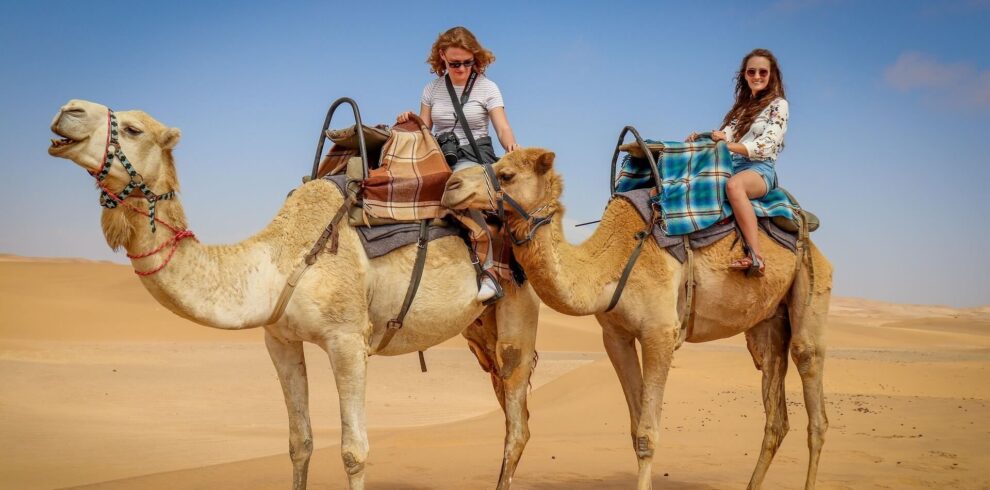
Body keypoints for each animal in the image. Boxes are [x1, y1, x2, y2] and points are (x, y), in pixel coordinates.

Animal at [46, 99, 541, 490]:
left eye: (133, 129)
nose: (67, 110)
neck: (277, 260)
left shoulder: (348, 340)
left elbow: (353, 451)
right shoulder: (279, 340)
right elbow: (299, 442)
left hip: (518, 310)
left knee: (516, 424)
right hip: (478, 328)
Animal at [442, 148, 833, 489]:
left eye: (506, 174)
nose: (450, 185)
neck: (609, 263)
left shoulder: (660, 332)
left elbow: (648, 434)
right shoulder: (615, 336)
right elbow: (634, 430)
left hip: (812, 289)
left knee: (814, 396)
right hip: (768, 324)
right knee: (776, 412)